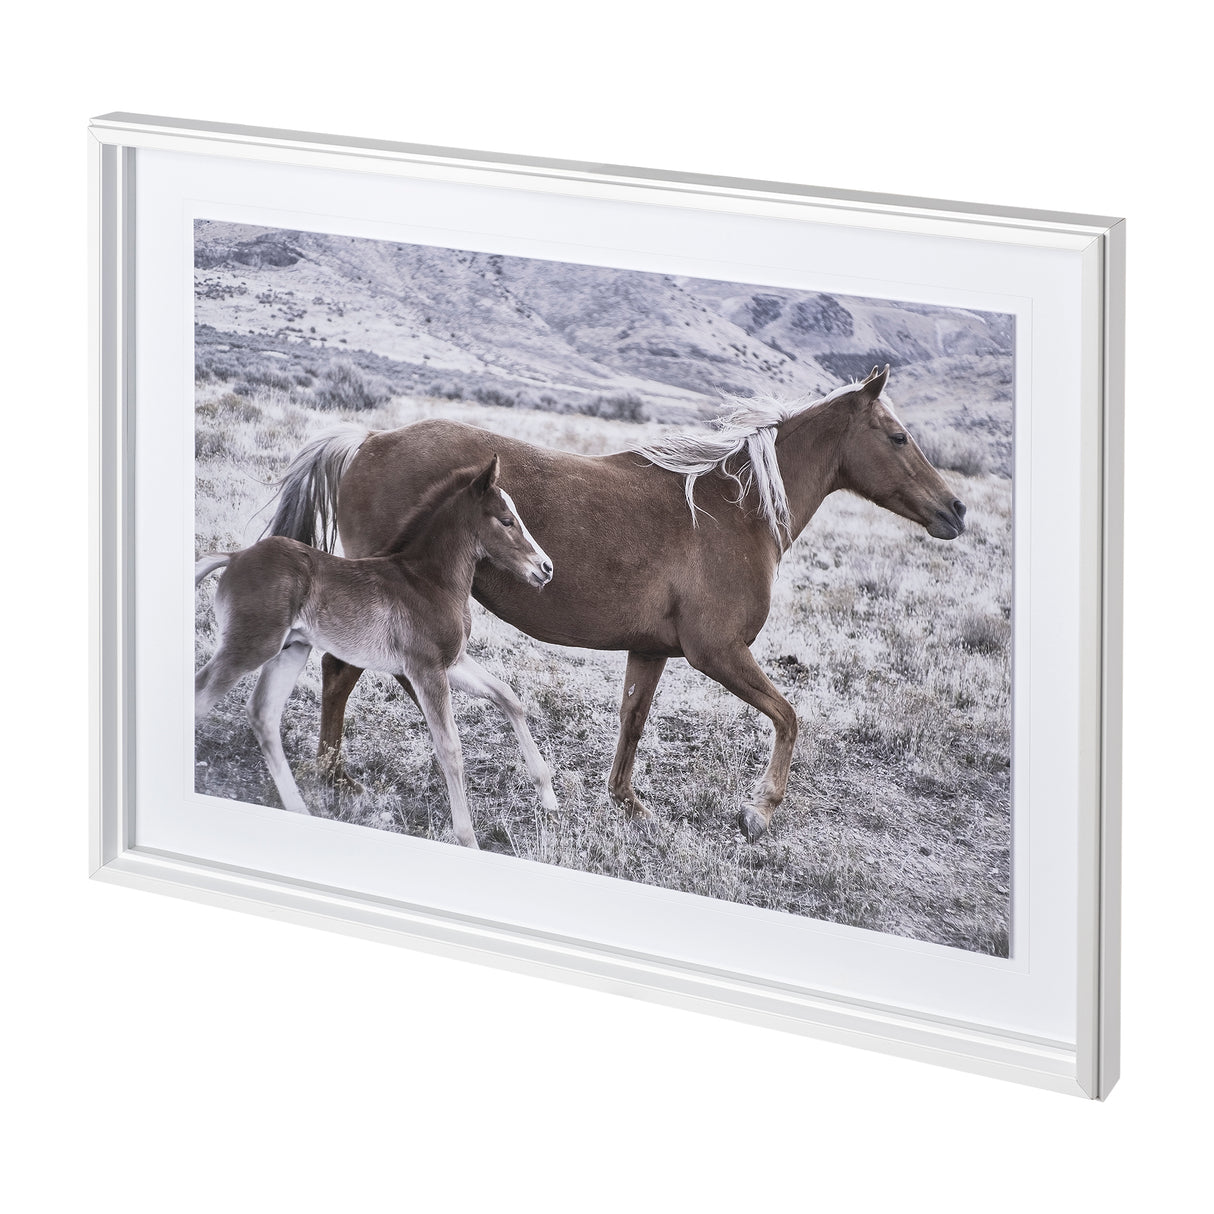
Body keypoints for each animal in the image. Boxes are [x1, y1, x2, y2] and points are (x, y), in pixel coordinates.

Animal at [195, 456, 558, 848]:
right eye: (506, 520)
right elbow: (450, 748)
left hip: (290, 650)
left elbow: (508, 697)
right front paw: (468, 839)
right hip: (250, 646)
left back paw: (299, 809)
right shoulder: (425, 669)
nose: (546, 568)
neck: (429, 582)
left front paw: (547, 795)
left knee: (263, 714)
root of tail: (235, 556)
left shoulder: (452, 662)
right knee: (202, 697)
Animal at [264, 365, 966, 843]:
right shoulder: (719, 652)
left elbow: (633, 721)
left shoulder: (651, 651)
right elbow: (789, 717)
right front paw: (759, 810)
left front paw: (627, 802)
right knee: (343, 673)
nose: (955, 510)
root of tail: (370, 439)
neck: (733, 511)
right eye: (898, 437)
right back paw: (335, 773)